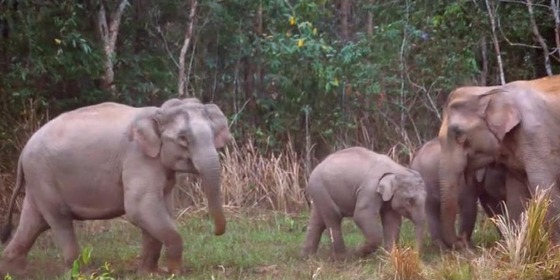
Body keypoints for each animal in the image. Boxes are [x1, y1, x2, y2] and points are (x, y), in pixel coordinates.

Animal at [0, 97, 233, 276]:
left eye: (213, 133)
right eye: (183, 138)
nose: (216, 231)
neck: (158, 112)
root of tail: (23, 152)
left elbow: (160, 210)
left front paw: (149, 273)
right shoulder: (138, 158)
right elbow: (140, 208)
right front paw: (175, 272)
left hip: (38, 182)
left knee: (34, 222)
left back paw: (14, 271)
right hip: (43, 176)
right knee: (59, 220)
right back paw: (81, 273)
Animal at [438, 75, 560, 248]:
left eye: (459, 134)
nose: (460, 242)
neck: (491, 92)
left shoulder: (536, 136)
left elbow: (543, 187)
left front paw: (553, 249)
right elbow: (516, 195)